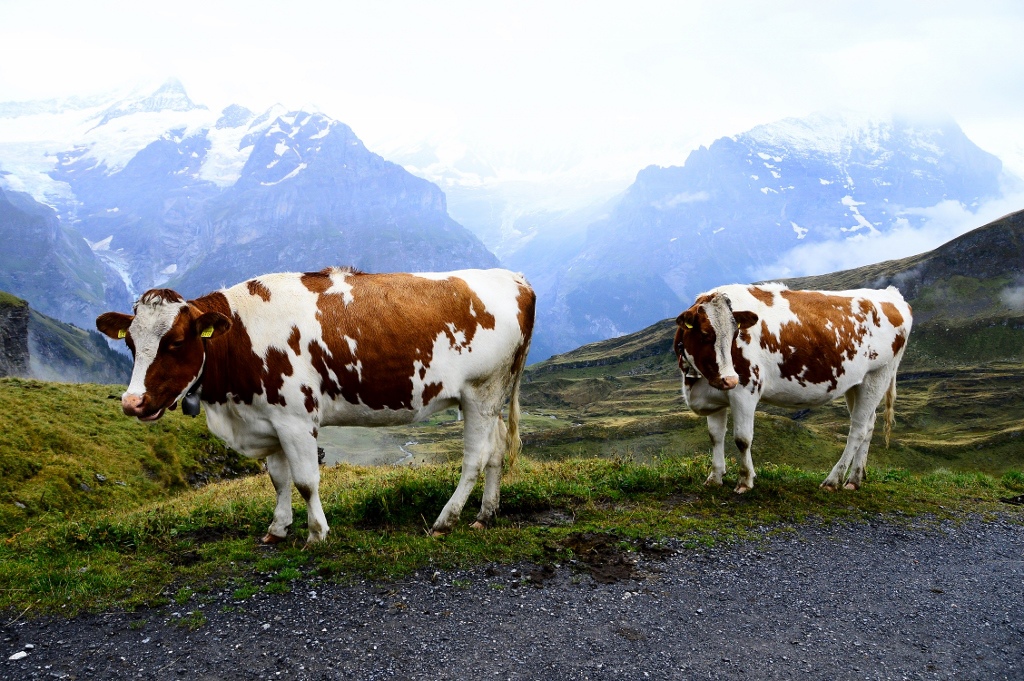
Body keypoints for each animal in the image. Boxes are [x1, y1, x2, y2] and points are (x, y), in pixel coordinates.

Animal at [96, 267, 535, 543]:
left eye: (174, 343)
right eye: (130, 343)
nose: (133, 402)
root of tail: (514, 278)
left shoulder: (294, 419)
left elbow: (306, 481)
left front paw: (316, 533)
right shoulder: (267, 418)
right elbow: (278, 479)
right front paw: (277, 529)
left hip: (480, 391)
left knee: (475, 459)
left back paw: (446, 520)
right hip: (494, 395)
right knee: (497, 453)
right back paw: (485, 515)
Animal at [673, 283, 912, 493]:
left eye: (735, 334)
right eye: (705, 334)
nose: (730, 379)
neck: (698, 380)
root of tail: (891, 294)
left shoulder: (746, 390)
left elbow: (742, 439)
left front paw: (745, 481)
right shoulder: (714, 396)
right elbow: (715, 437)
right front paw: (714, 478)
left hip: (878, 375)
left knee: (858, 430)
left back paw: (833, 480)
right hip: (857, 384)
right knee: (869, 425)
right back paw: (854, 479)